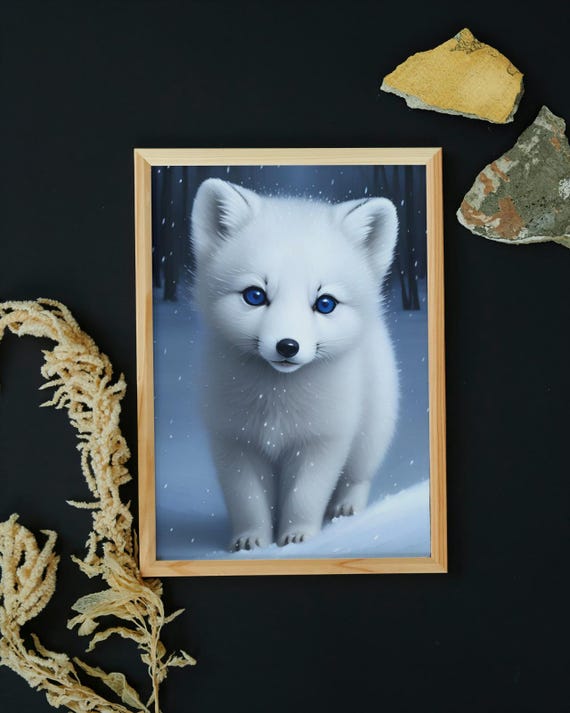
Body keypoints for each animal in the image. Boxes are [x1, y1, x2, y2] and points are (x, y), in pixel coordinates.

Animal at [191, 178, 399, 551]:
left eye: (325, 303)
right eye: (255, 296)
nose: (287, 346)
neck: (276, 404)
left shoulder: (322, 439)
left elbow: (305, 497)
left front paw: (298, 539)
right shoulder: (234, 440)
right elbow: (247, 501)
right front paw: (251, 543)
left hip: (371, 433)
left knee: (357, 477)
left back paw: (347, 510)